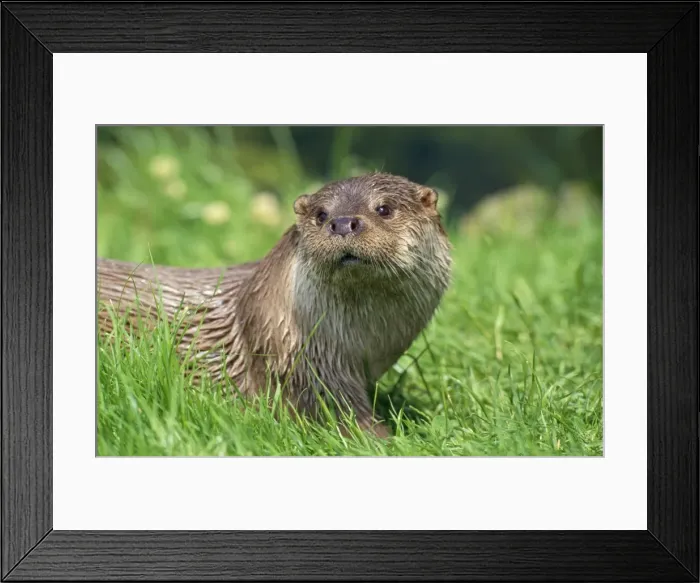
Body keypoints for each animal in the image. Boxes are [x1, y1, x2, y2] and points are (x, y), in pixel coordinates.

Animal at [97, 172, 452, 437]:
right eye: (321, 214)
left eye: (384, 209)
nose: (341, 223)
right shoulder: (305, 363)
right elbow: (339, 411)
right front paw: (383, 439)